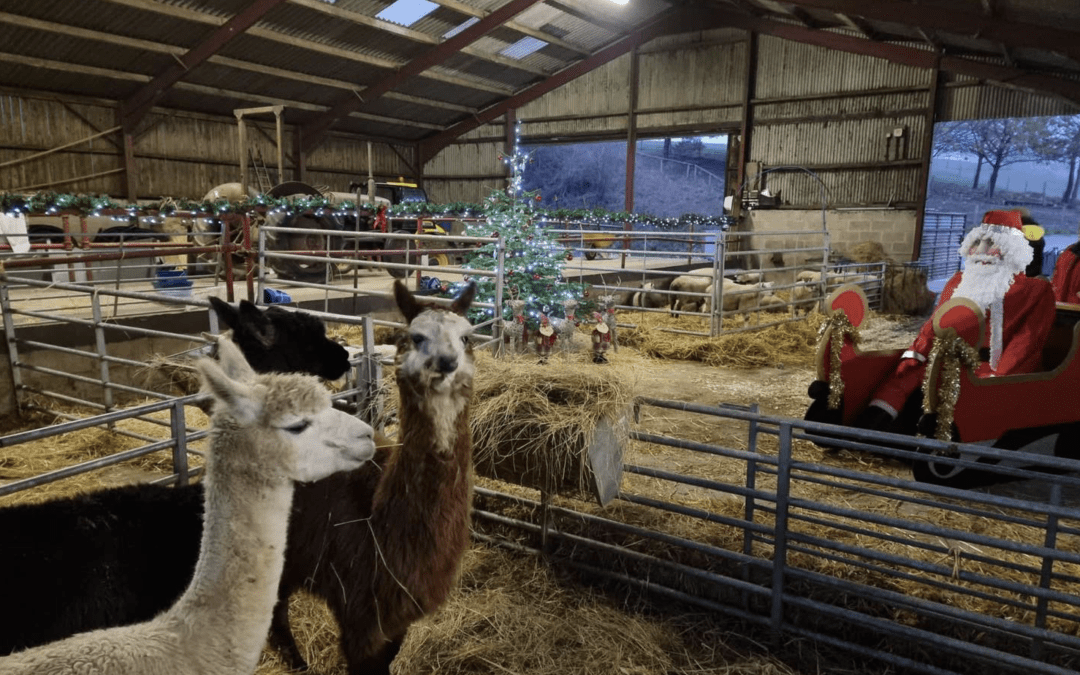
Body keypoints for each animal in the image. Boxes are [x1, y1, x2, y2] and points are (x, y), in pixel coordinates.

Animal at [266, 278, 477, 669]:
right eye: (414, 337)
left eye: (467, 337)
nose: (447, 362)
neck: (379, 524)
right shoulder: (359, 613)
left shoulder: (398, 615)